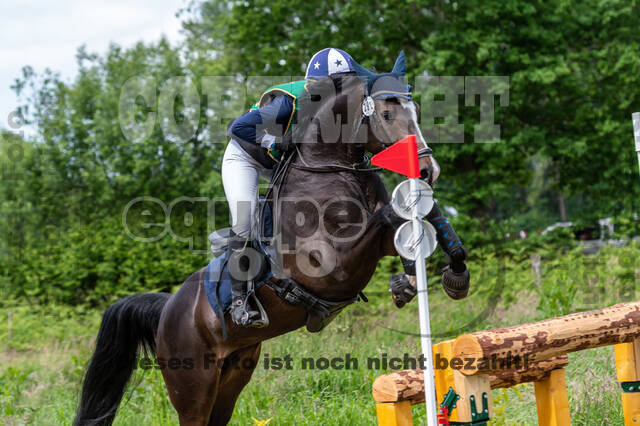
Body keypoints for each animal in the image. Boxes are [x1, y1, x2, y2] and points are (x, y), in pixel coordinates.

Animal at [73, 53, 443, 426]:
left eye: (416, 111)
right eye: (387, 114)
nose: (428, 171)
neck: (331, 168)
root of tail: (168, 308)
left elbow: (397, 228)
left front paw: (413, 280)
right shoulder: (330, 266)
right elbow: (386, 221)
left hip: (232, 375)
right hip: (192, 387)